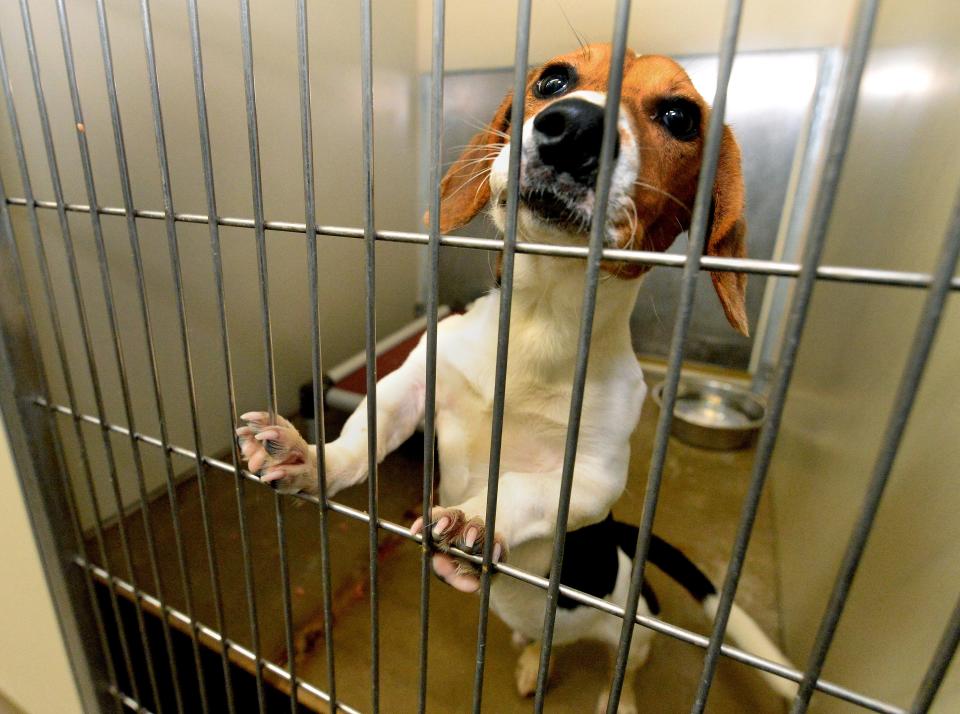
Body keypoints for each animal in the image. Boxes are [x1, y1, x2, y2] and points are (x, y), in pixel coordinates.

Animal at [236, 43, 792, 708]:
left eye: (680, 117)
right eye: (553, 80)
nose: (574, 127)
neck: (538, 324)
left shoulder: (594, 476)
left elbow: (524, 488)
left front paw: (476, 519)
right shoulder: (412, 387)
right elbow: (360, 441)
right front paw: (307, 460)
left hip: (636, 624)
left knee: (627, 665)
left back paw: (615, 697)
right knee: (541, 645)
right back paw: (532, 662)